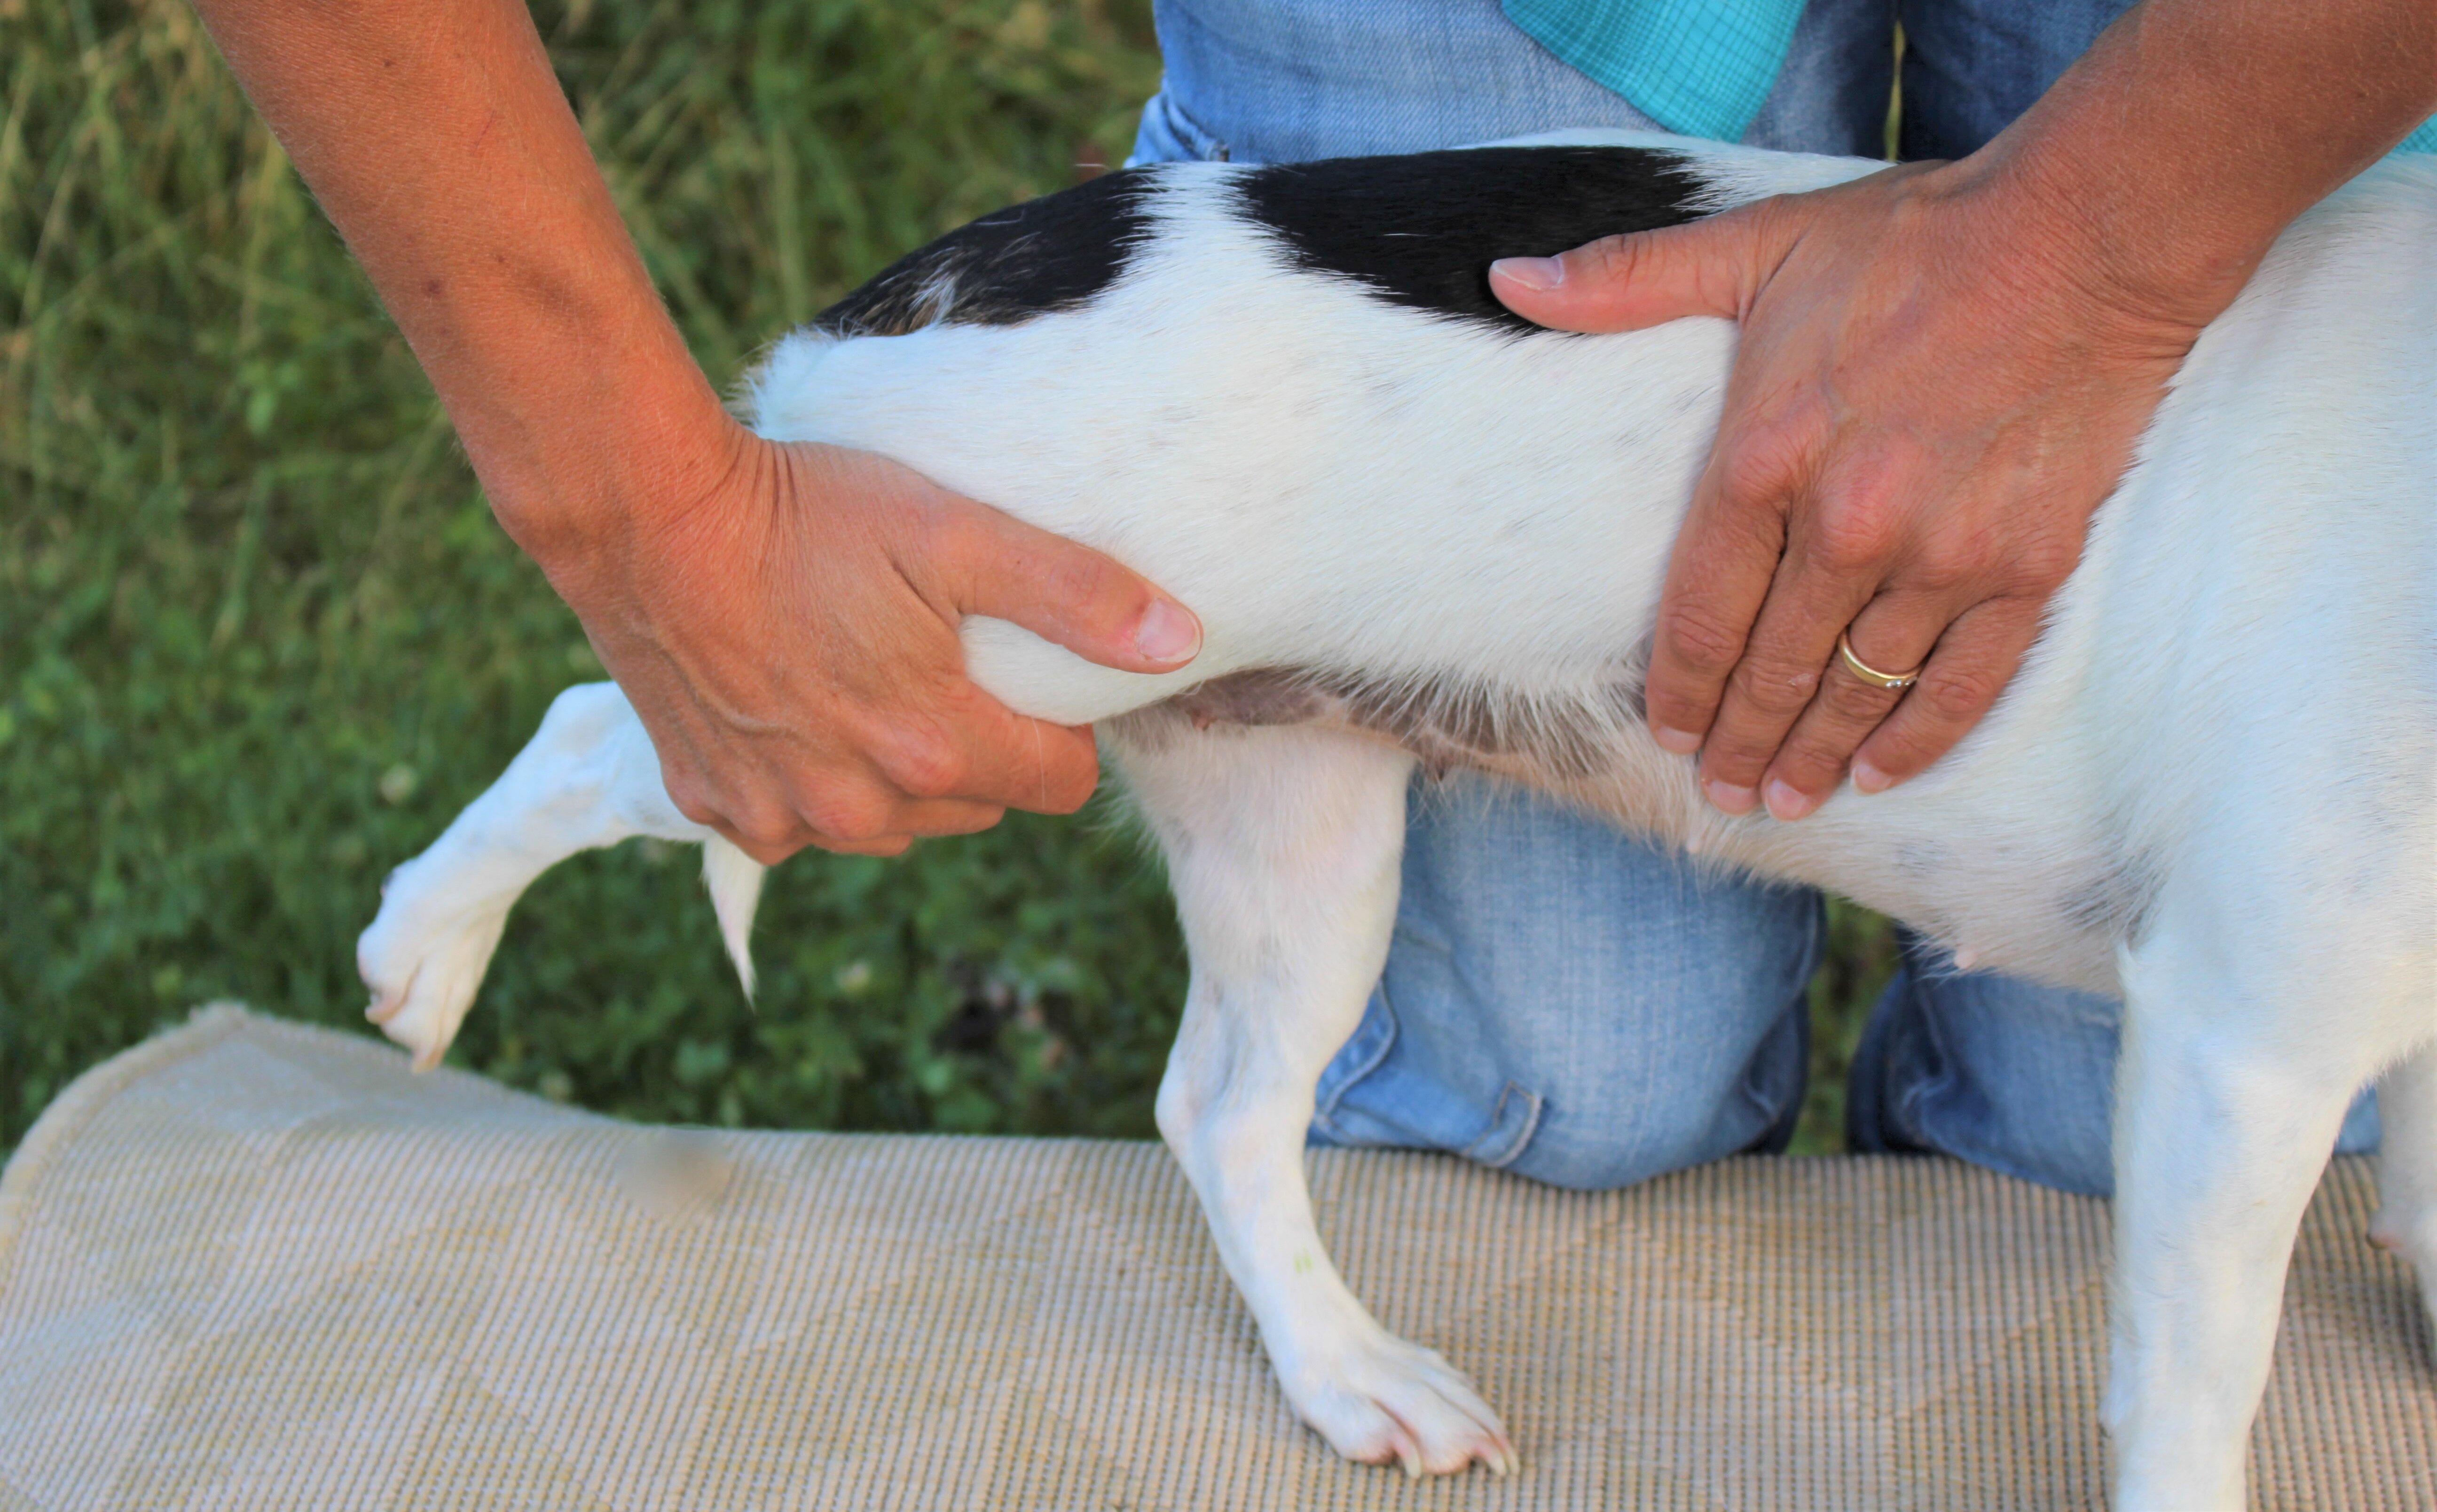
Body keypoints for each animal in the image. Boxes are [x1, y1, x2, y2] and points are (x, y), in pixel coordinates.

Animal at [353, 135, 2427, 1500]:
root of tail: (904, 300)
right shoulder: (2238, 1044)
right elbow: (2199, 1398)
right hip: (913, 678)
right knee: (590, 728)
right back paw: (421, 951)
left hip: (1293, 824)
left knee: (1220, 1108)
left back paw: (1346, 1371)